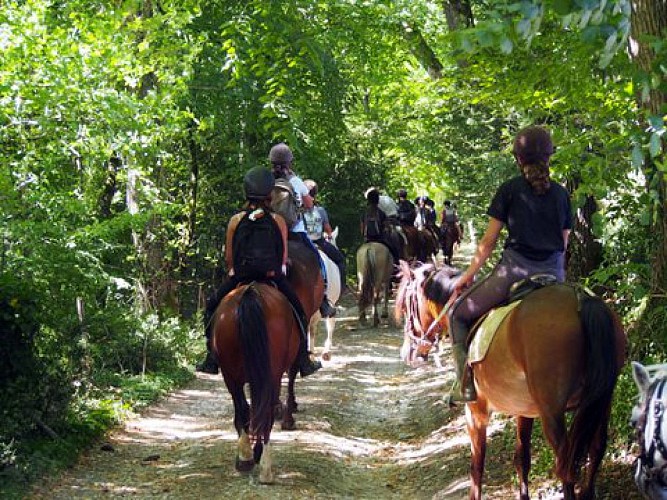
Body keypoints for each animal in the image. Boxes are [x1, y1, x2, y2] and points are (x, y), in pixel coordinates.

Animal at [211, 284, 300, 482]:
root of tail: (251, 291)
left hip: (231, 375)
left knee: (246, 409)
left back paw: (247, 459)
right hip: (270, 375)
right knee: (264, 412)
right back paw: (263, 465)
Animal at [394, 264, 628, 498]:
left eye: (406, 307)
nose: (407, 353)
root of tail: (579, 298)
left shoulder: (476, 411)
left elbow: (477, 465)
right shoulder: (525, 411)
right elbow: (522, 459)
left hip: (552, 411)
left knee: (566, 463)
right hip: (602, 401)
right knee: (596, 450)